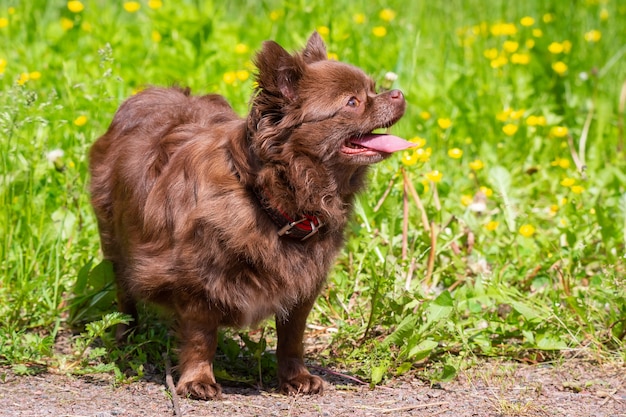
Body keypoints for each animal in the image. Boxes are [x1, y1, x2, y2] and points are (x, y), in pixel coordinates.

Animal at [89, 31, 410, 396]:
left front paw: (294, 376)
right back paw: (126, 335)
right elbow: (201, 337)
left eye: (373, 88)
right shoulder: (198, 282)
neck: (272, 199)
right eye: (352, 103)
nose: (398, 93)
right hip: (116, 244)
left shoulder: (301, 286)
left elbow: (291, 338)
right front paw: (198, 379)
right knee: (125, 295)